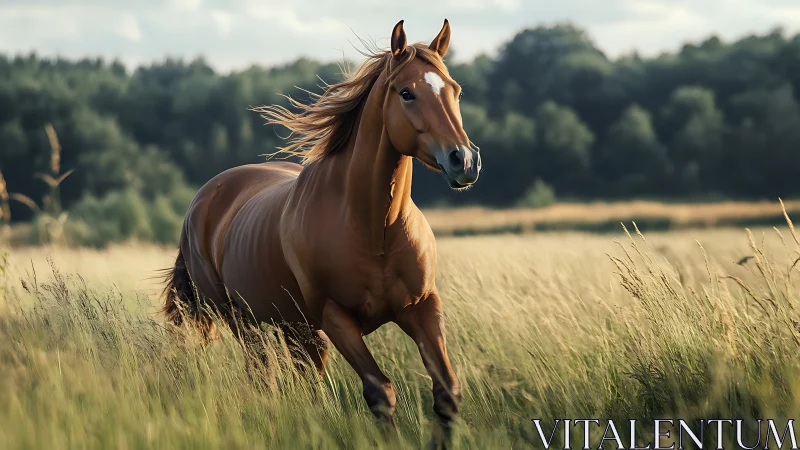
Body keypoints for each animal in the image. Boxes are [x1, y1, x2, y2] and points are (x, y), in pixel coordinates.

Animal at [160, 19, 481, 445]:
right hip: (243, 320)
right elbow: (380, 391)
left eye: (455, 89)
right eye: (406, 93)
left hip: (294, 325)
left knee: (304, 376)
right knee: (264, 375)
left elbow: (447, 391)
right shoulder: (335, 317)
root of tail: (201, 201)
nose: (463, 160)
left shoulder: (422, 307)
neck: (374, 229)